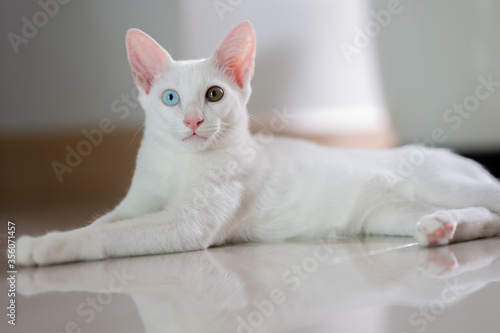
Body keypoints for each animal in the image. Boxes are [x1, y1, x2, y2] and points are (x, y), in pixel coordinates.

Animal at [17, 21, 500, 264]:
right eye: (170, 98)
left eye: (214, 95)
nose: (193, 120)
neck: (179, 164)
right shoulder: (135, 204)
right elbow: (101, 225)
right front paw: (53, 238)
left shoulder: (185, 224)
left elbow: (107, 235)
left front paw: (40, 247)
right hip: (385, 215)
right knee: (488, 219)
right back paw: (442, 227)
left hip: (443, 184)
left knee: (491, 202)